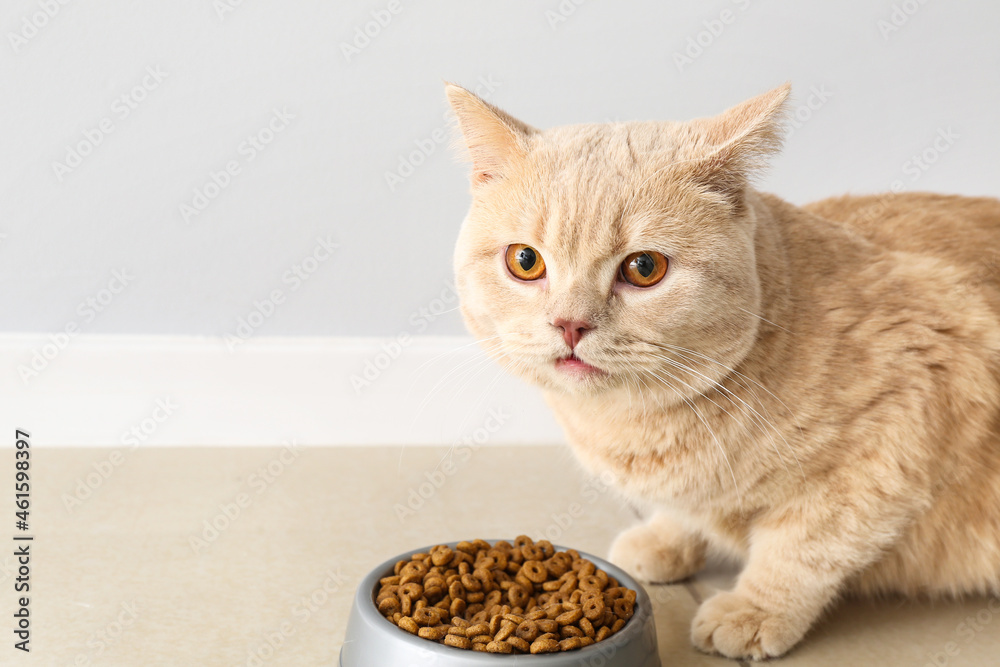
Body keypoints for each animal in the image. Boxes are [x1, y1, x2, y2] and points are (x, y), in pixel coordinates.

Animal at [444, 81, 1000, 660]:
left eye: (644, 268)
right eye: (525, 261)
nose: (570, 324)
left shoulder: (896, 428)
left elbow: (805, 545)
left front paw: (754, 610)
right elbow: (688, 514)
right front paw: (665, 538)